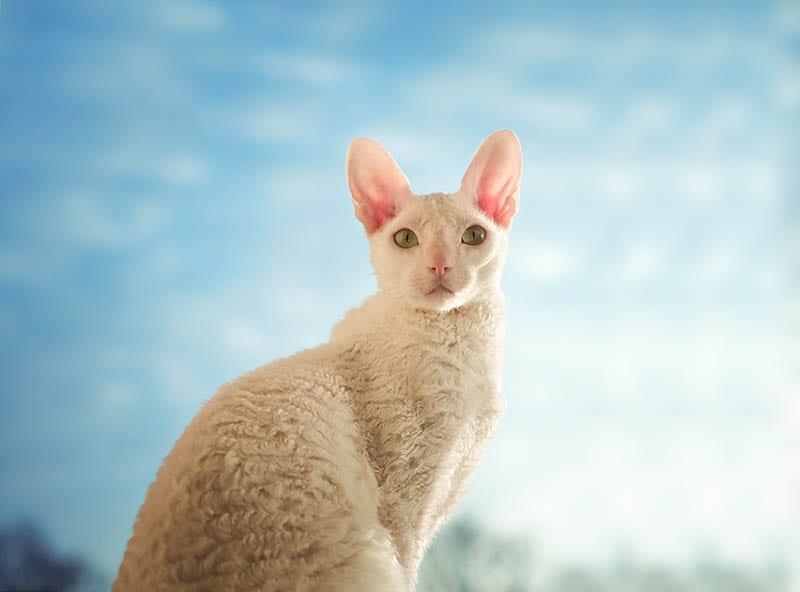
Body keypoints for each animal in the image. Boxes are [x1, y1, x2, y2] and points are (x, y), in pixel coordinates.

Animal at [114, 130, 524, 592]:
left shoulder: (444, 485)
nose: (440, 265)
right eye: (405, 239)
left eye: (473, 235)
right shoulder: (405, 493)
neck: (460, 342)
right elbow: (408, 566)